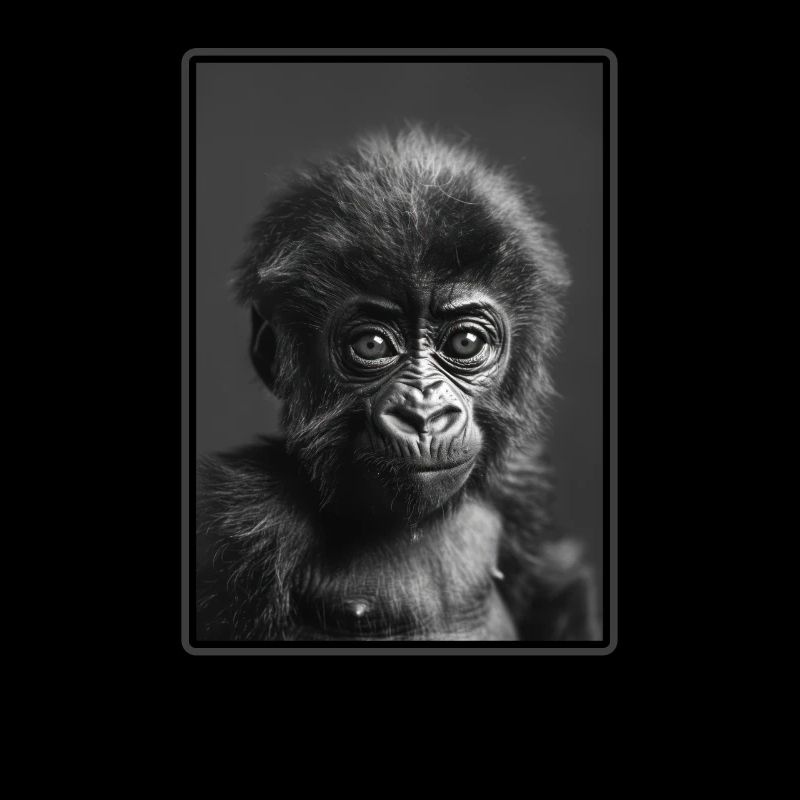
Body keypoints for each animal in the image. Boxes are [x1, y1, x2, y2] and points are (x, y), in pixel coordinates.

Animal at [195, 127, 601, 642]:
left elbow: (556, 589)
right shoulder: (241, 525)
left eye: (466, 341)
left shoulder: (521, 481)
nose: (424, 414)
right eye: (371, 345)